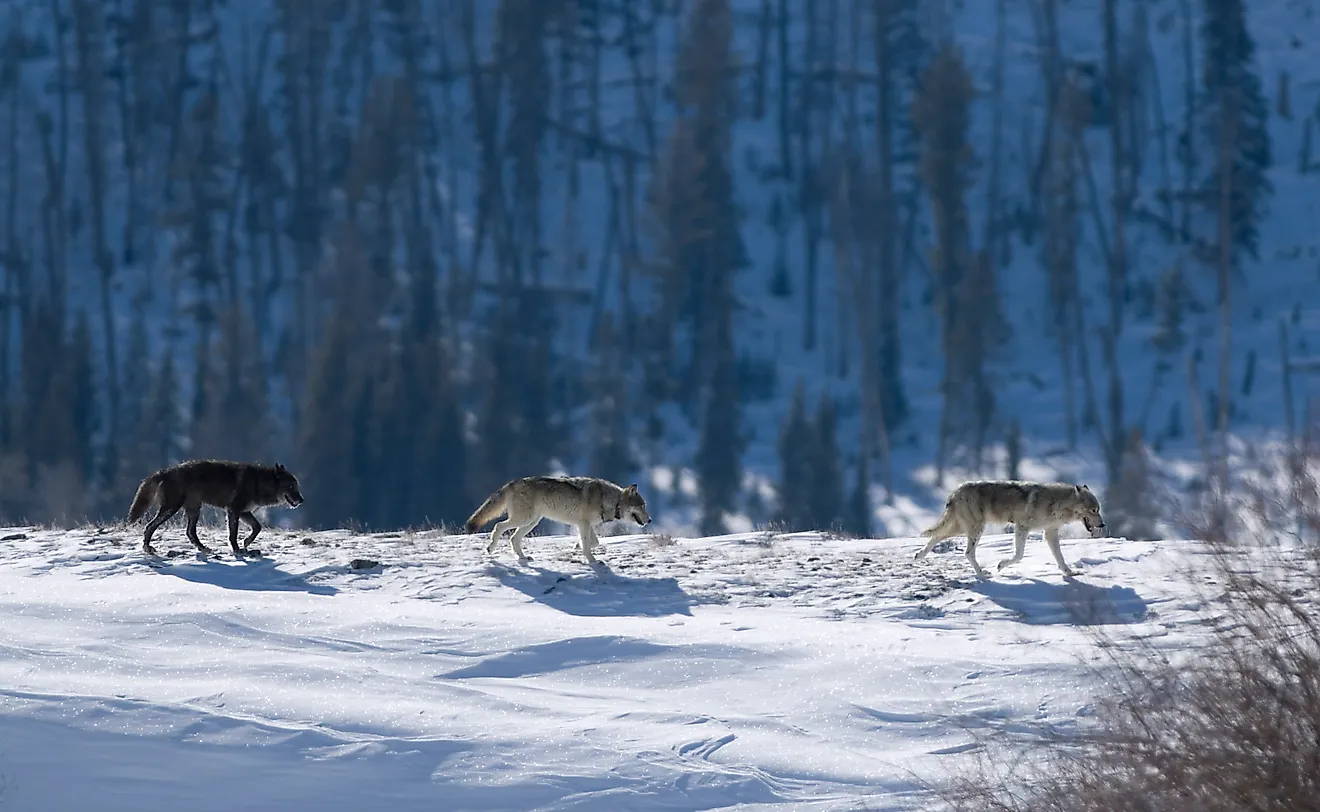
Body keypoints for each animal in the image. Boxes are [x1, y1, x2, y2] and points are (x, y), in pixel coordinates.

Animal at [127, 460, 305, 558]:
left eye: (297, 486)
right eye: (290, 486)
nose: (301, 500)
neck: (258, 483)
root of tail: (164, 471)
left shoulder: (244, 512)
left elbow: (257, 527)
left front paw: (246, 543)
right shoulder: (233, 510)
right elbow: (233, 534)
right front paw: (237, 550)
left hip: (193, 510)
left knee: (190, 532)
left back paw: (204, 549)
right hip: (171, 509)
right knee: (150, 526)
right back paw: (148, 548)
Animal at [465, 476, 652, 565]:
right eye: (642, 506)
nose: (650, 520)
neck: (610, 500)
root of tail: (512, 483)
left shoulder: (585, 525)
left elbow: (594, 542)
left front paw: (577, 547)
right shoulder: (583, 524)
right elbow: (588, 546)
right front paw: (592, 561)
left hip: (531, 522)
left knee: (513, 538)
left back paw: (523, 558)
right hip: (523, 519)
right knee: (498, 526)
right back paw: (490, 548)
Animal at [913, 480, 1107, 577]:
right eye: (1094, 510)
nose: (1103, 525)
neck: (1057, 504)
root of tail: (954, 492)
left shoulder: (1050, 533)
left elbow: (1060, 558)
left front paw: (1069, 573)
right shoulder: (1022, 527)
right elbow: (1019, 555)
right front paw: (1001, 565)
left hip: (962, 528)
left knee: (937, 536)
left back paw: (919, 555)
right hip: (975, 529)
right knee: (967, 552)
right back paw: (982, 573)